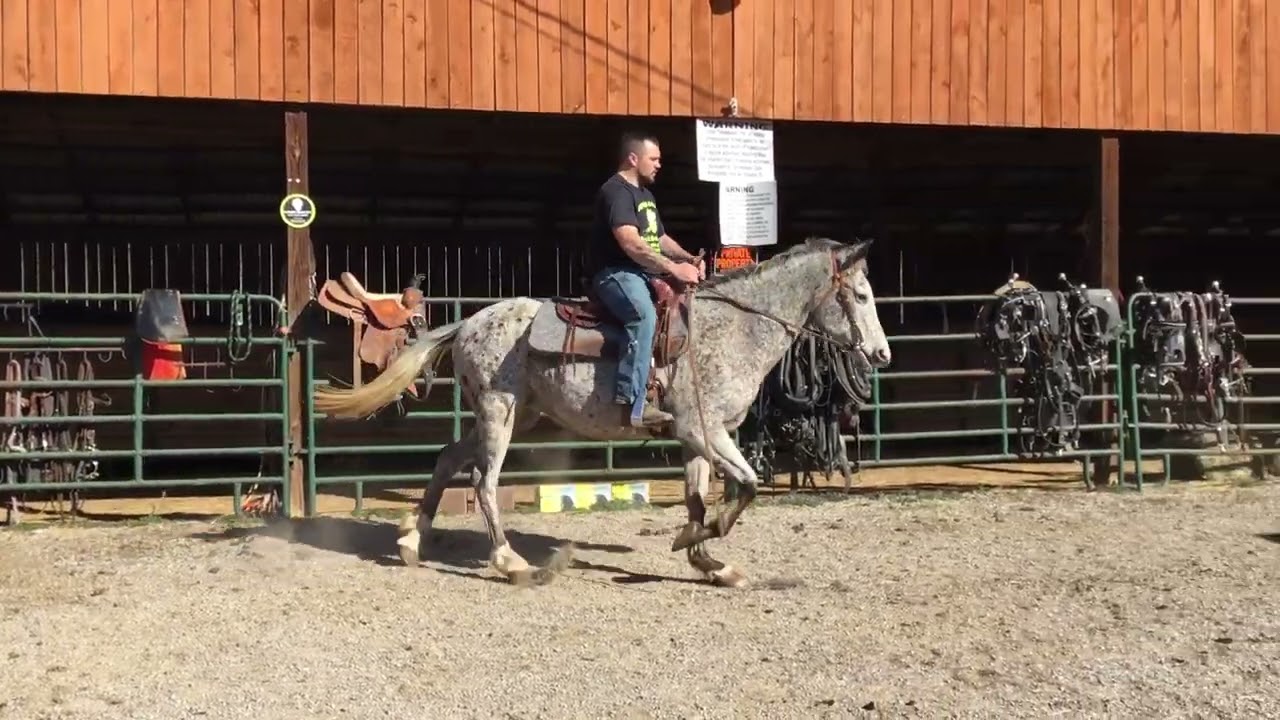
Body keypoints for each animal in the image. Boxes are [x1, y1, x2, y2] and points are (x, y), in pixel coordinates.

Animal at [312, 237, 892, 588]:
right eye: (861, 295)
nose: (883, 354)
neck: (732, 328)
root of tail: (471, 322)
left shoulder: (701, 436)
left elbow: (700, 497)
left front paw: (707, 560)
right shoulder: (703, 430)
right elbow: (744, 487)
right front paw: (697, 543)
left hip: (512, 414)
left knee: (448, 459)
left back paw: (412, 541)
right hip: (500, 414)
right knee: (482, 480)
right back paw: (510, 562)